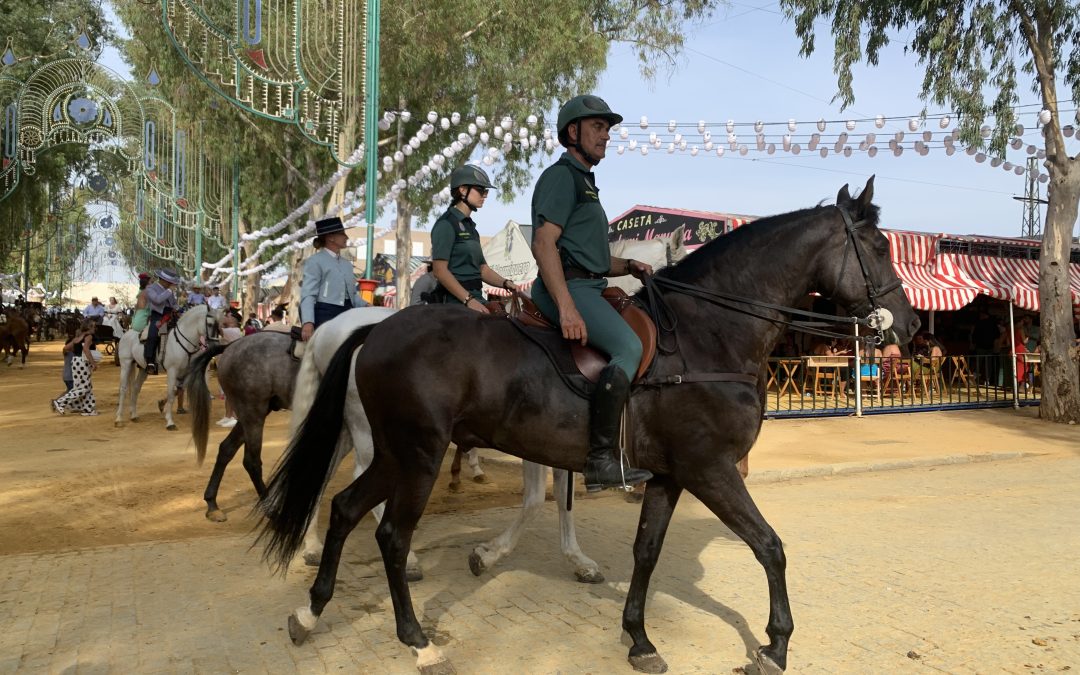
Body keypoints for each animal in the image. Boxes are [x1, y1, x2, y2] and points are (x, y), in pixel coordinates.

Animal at [289, 308, 609, 583]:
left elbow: (562, 498)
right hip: (370, 433)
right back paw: (409, 561)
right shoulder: (535, 444)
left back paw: (312, 547)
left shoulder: (559, 446)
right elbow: (535, 500)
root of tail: (329, 328)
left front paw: (579, 561)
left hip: (346, 428)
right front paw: (486, 555)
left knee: (317, 475)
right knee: (355, 475)